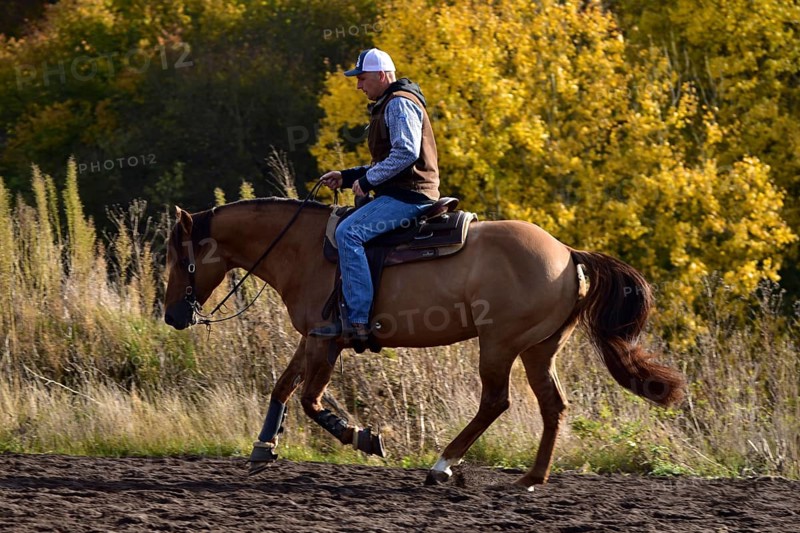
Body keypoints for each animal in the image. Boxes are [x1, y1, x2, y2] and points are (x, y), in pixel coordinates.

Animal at [163, 197, 685, 489]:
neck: (307, 250)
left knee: (495, 402)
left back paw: (442, 466)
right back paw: (532, 478)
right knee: (552, 406)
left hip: (499, 345)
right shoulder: (313, 337)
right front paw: (263, 448)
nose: (172, 316)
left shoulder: (325, 342)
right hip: (539, 349)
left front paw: (364, 437)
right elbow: (284, 388)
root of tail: (568, 253)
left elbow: (310, 399)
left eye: (178, 257)